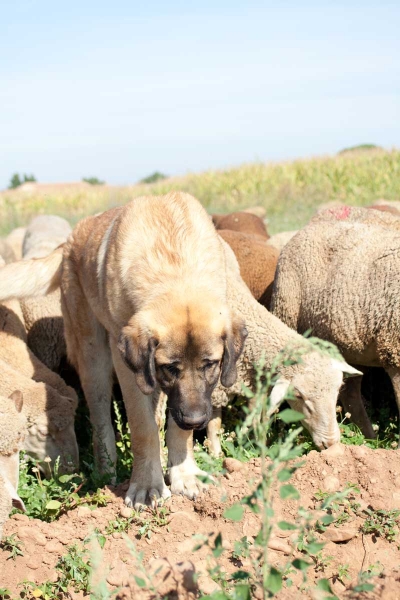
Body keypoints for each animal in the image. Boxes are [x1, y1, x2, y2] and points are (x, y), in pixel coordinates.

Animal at [164, 238, 358, 488]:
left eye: (336, 393)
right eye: (300, 397)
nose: (331, 444)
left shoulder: (252, 385)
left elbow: (256, 419)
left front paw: (259, 450)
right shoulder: (211, 388)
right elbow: (214, 424)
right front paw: (217, 455)